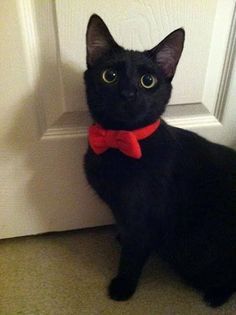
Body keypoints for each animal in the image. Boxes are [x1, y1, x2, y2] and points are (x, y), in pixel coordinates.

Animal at [83, 14, 236, 308]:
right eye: (110, 76)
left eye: (147, 80)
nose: (128, 94)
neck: (120, 143)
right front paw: (121, 237)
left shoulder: (145, 216)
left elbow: (133, 253)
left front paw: (123, 285)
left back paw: (216, 294)